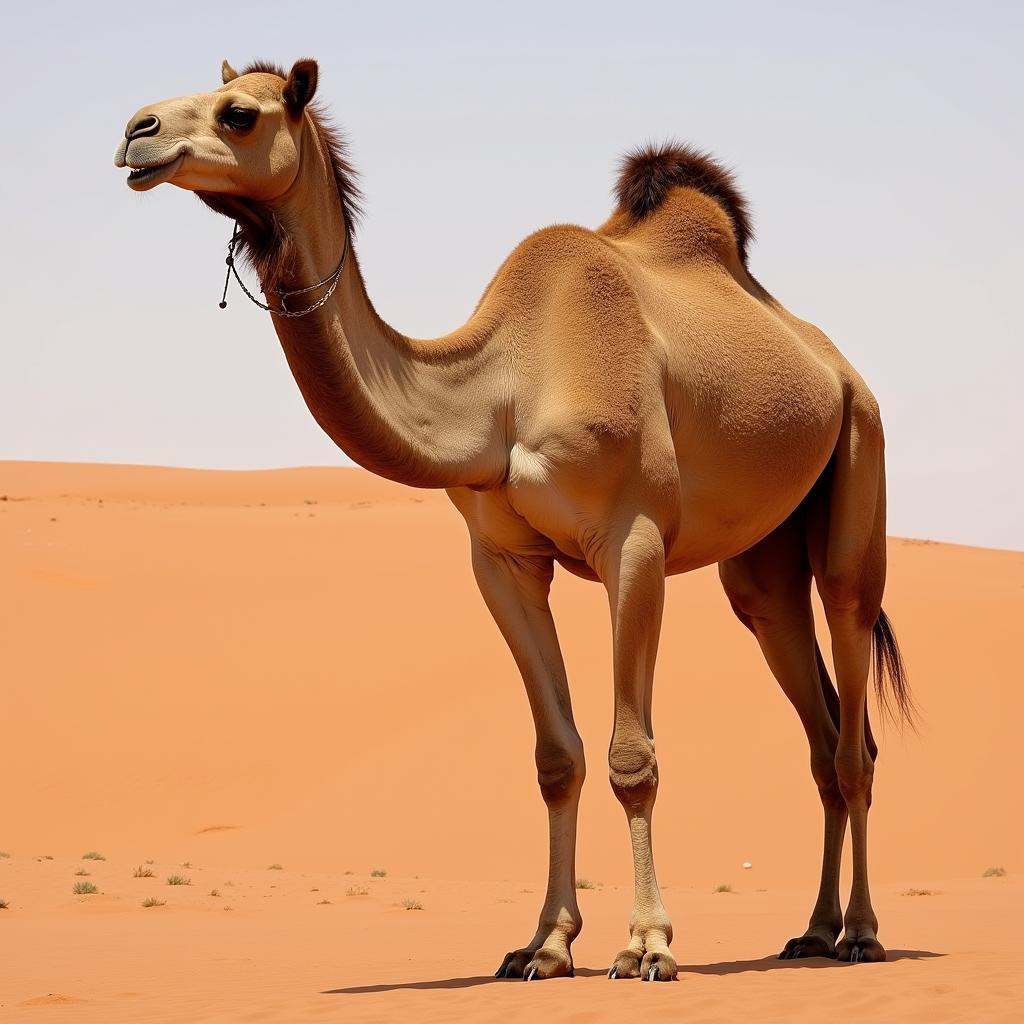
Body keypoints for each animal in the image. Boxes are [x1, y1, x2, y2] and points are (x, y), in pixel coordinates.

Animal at [114, 58, 913, 983]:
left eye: (239, 113)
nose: (135, 132)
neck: (498, 393)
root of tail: (836, 365)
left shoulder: (634, 540)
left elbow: (631, 757)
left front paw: (647, 946)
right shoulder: (501, 559)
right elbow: (556, 758)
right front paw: (544, 945)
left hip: (861, 453)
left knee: (854, 721)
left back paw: (861, 934)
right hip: (762, 562)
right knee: (810, 710)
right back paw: (811, 931)